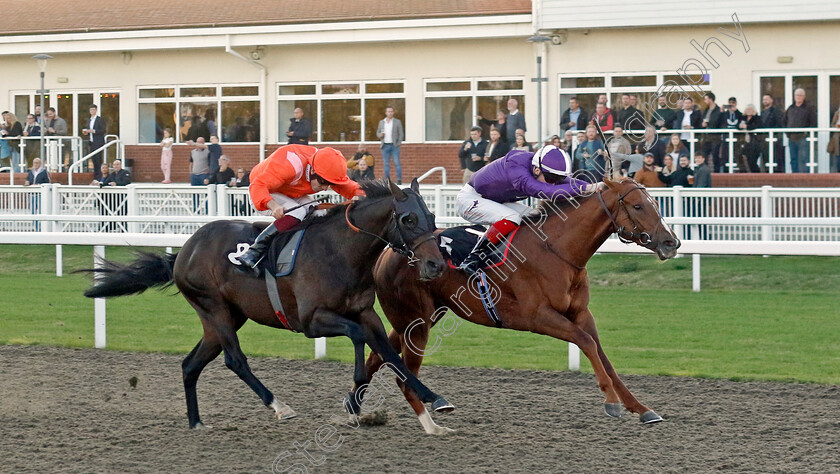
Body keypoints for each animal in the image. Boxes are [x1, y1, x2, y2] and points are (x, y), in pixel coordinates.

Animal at [83, 179, 456, 430]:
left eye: (431, 215)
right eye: (408, 219)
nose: (435, 265)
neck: (340, 251)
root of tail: (183, 251)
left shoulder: (365, 312)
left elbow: (391, 353)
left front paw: (435, 399)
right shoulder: (311, 321)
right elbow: (358, 337)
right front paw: (355, 396)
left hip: (225, 318)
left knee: (190, 365)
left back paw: (196, 422)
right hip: (214, 307)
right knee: (235, 360)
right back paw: (279, 405)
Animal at [364, 177, 680, 434]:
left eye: (655, 203)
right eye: (638, 206)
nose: (671, 242)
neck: (556, 250)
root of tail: (389, 251)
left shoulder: (580, 313)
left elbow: (603, 356)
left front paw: (641, 409)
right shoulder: (538, 317)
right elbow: (586, 343)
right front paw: (611, 402)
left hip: (418, 320)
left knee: (377, 357)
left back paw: (358, 412)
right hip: (415, 321)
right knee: (404, 377)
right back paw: (432, 423)